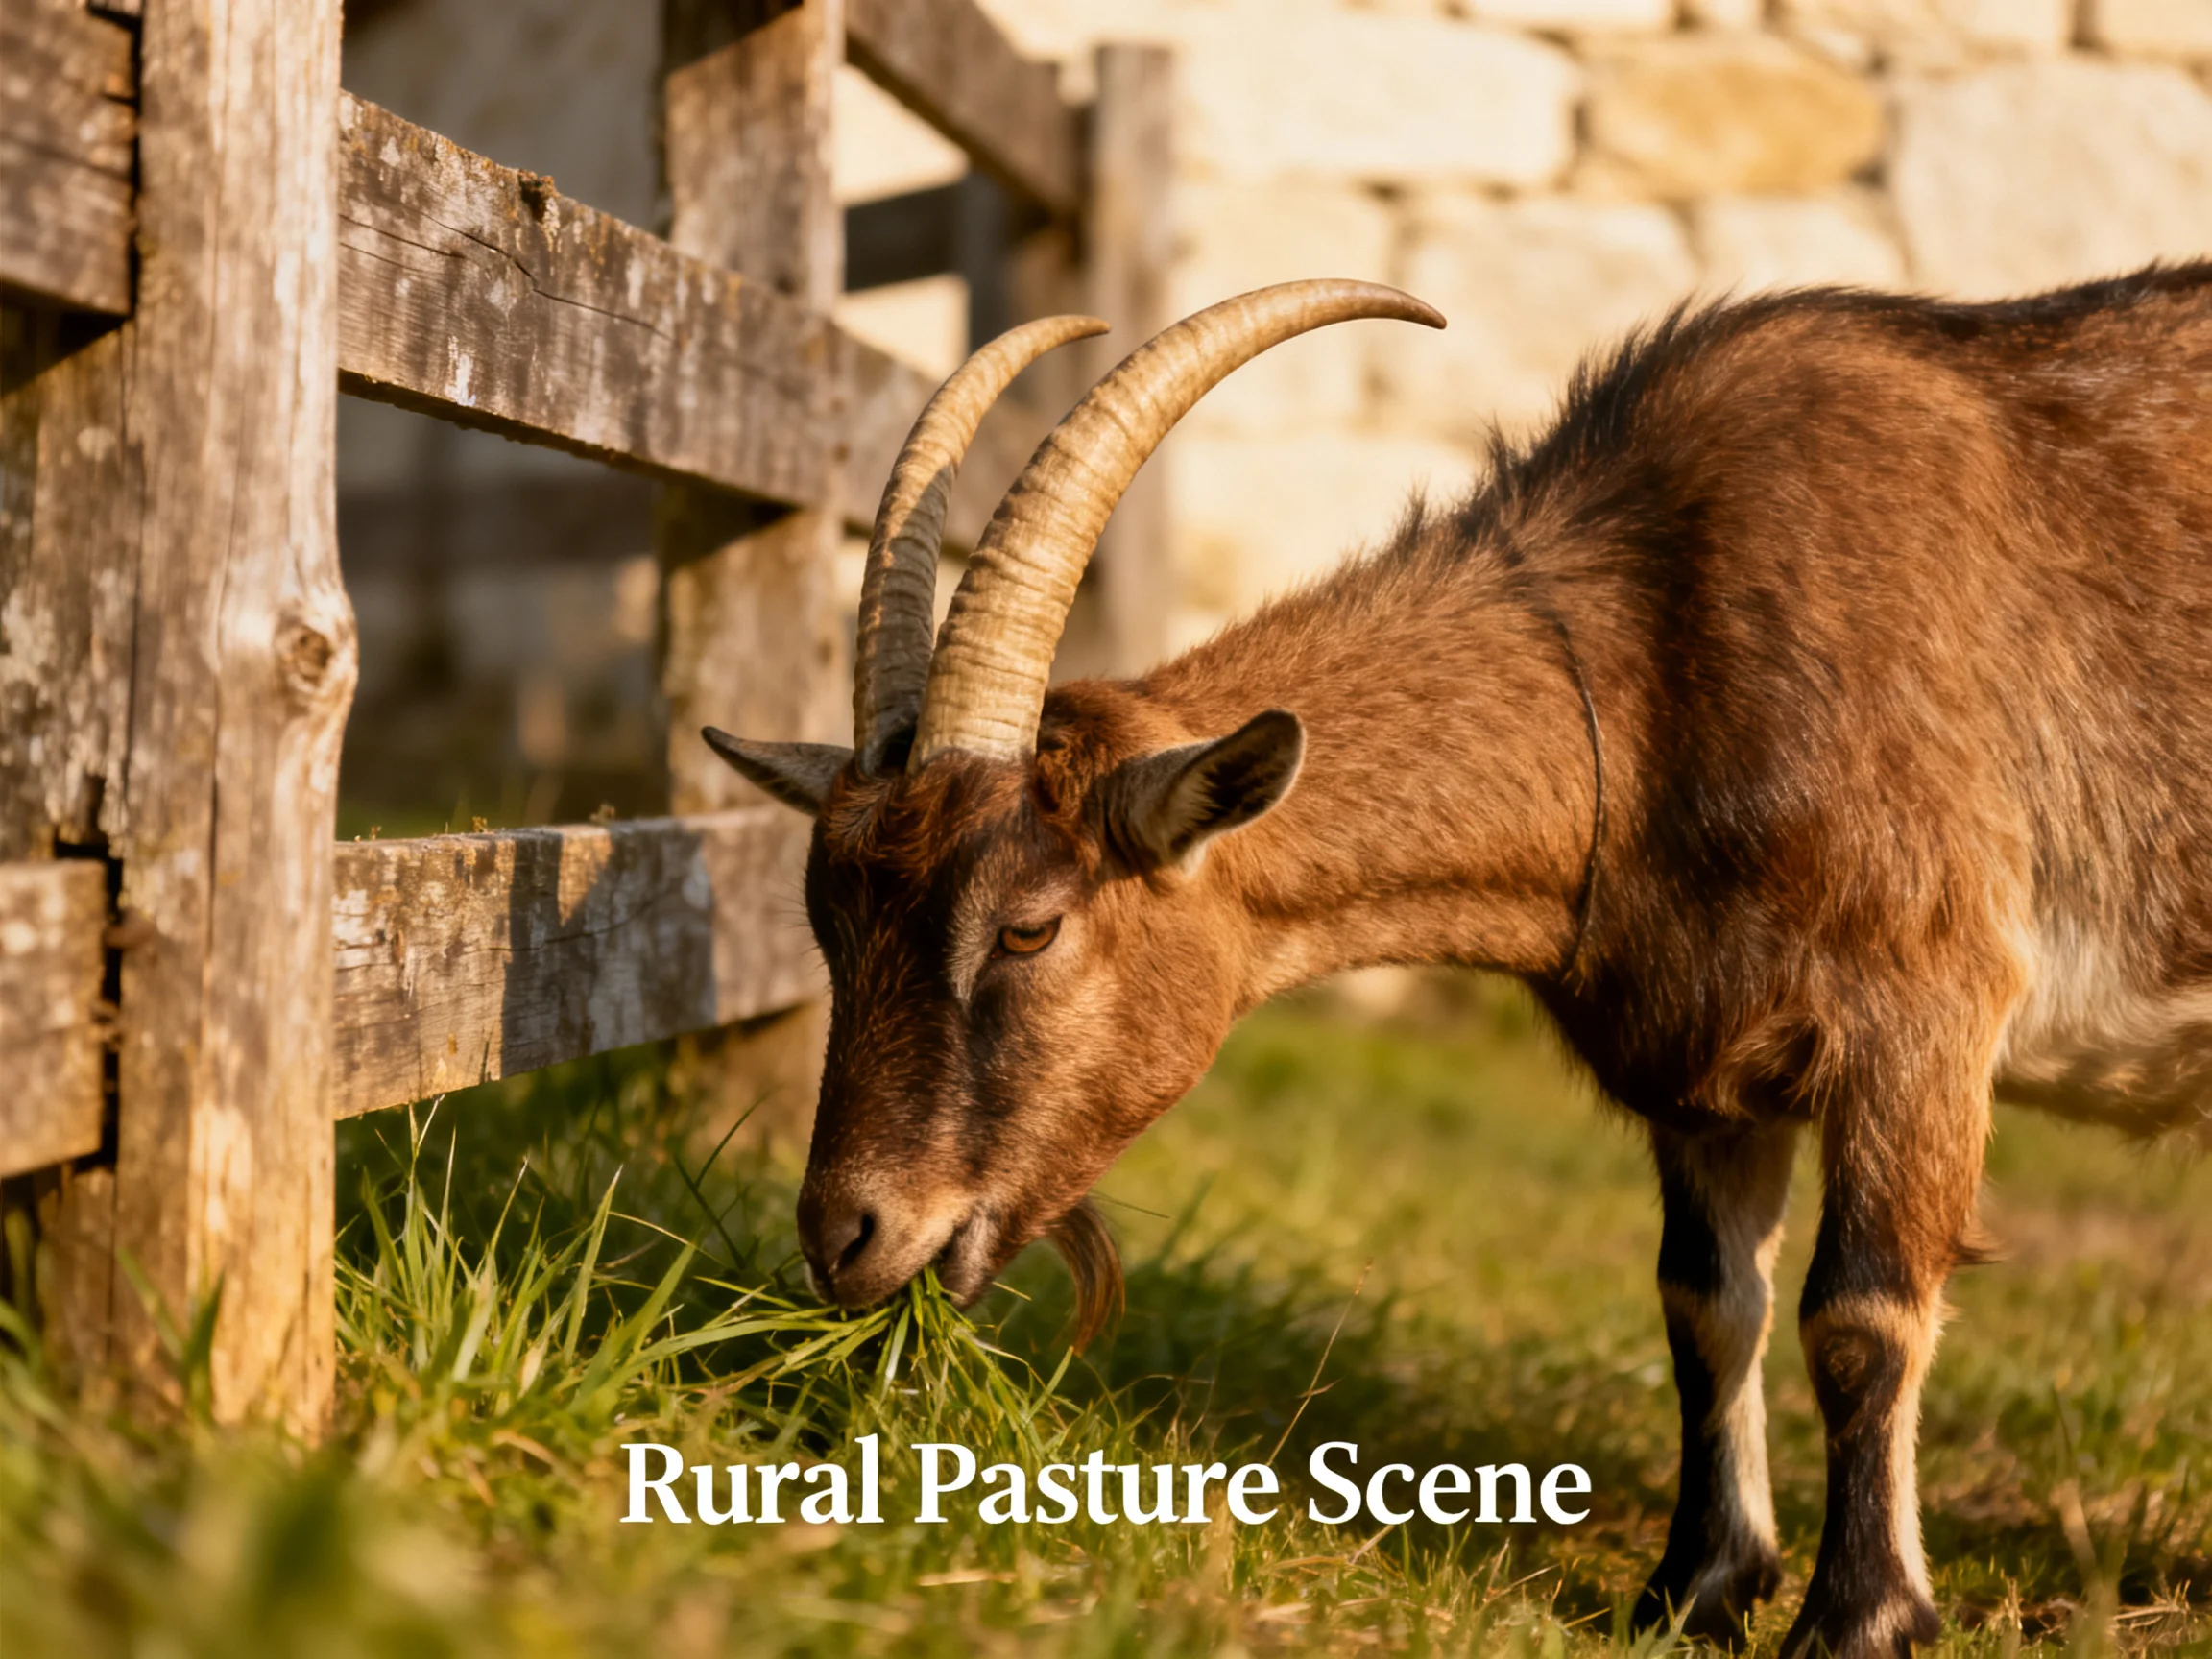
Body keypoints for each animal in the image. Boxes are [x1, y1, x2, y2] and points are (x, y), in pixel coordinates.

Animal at [706, 271, 2212, 1657]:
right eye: (829, 919)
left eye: (1030, 925)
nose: (847, 1236)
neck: (1653, 658)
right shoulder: (1705, 1064)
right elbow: (1706, 1304)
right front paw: (1696, 1588)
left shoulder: (1925, 1007)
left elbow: (1862, 1315)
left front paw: (1861, 1618)